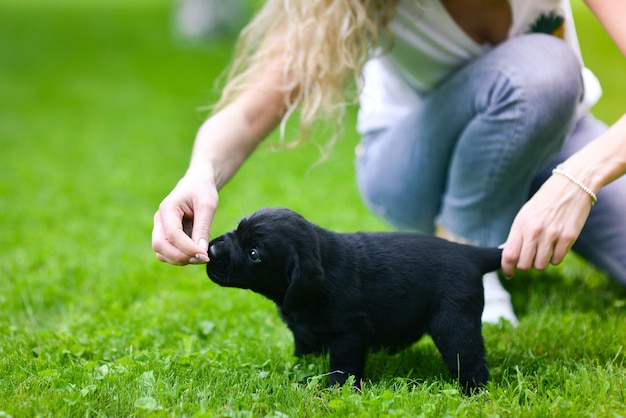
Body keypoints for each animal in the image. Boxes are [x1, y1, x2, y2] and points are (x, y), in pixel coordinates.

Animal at [207, 207, 500, 394]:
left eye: (254, 253)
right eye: (238, 228)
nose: (211, 249)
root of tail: (470, 254)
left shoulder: (348, 334)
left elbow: (343, 369)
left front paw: (337, 392)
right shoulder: (302, 333)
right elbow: (304, 353)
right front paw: (302, 371)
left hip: (453, 324)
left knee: (470, 362)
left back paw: (473, 393)